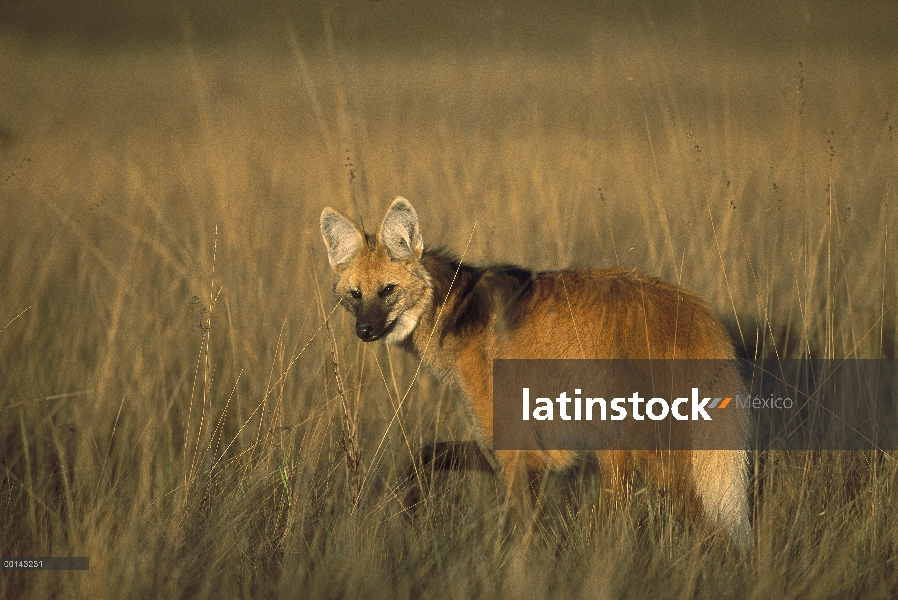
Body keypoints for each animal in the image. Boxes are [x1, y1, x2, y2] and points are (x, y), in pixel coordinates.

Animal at [318, 197, 752, 552]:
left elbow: (518, 530)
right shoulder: (509, 446)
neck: (455, 314)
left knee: (698, 522)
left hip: (644, 448)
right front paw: (408, 510)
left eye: (387, 290)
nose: (364, 331)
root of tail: (698, 311)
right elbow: (423, 456)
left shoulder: (517, 451)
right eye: (355, 294)